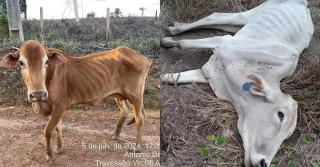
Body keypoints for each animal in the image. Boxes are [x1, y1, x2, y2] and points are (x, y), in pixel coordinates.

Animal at [0, 40, 151, 163]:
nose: (38, 94)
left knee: (140, 118)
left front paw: (50, 155)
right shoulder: (54, 107)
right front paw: (59, 148)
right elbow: (57, 128)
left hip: (136, 96)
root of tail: (143, 57)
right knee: (125, 111)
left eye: (46, 62)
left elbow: (48, 130)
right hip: (118, 95)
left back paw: (137, 147)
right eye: (21, 62)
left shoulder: (59, 105)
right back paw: (115, 134)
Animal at [161, 0, 314, 167]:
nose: (263, 163)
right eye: (280, 115)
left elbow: (173, 77)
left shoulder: (209, 73)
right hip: (252, 14)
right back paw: (172, 30)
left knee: (220, 19)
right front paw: (165, 42)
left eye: (287, 136)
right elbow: (183, 43)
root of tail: (304, 4)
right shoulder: (223, 42)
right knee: (215, 16)